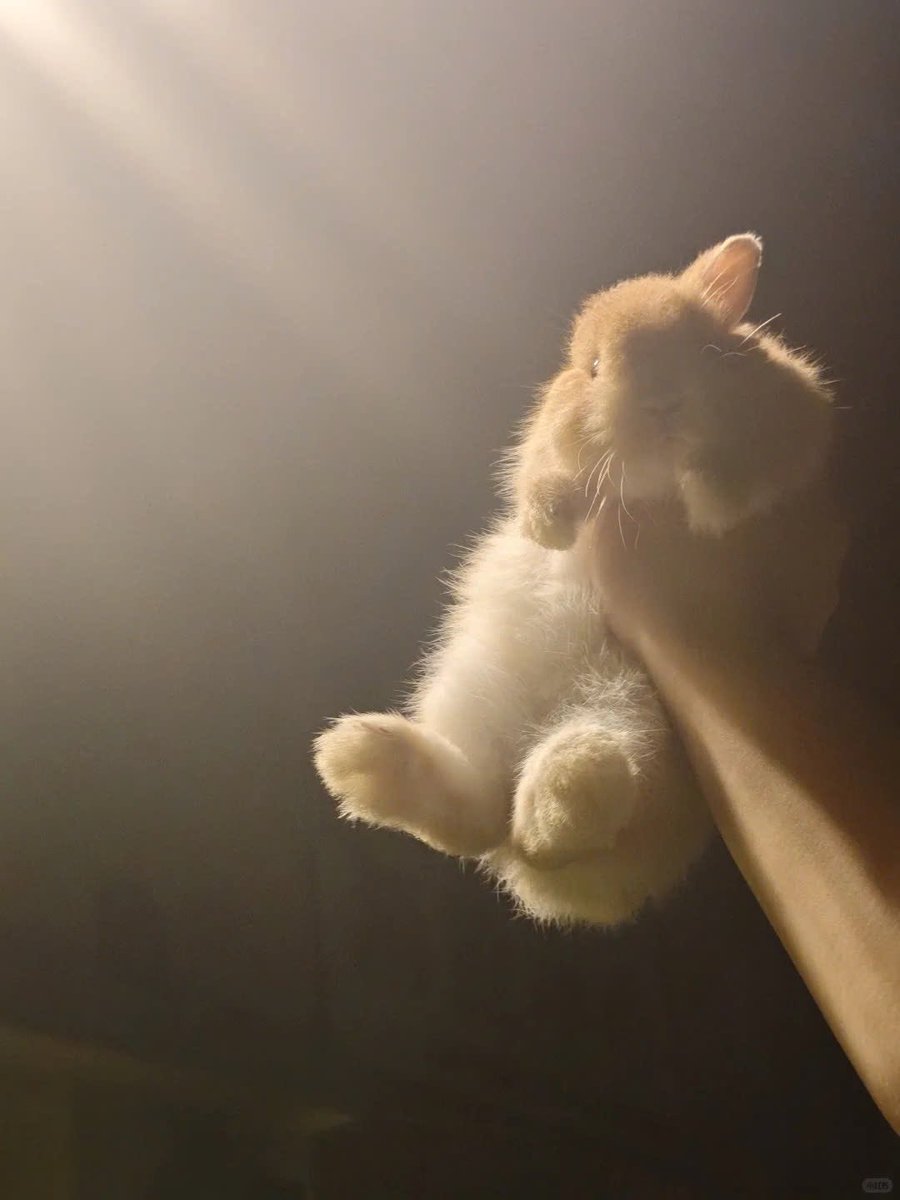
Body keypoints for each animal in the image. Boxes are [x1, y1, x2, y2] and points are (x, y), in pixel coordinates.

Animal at [313, 234, 836, 926]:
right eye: (592, 368)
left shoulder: (794, 427)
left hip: (646, 734)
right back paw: (358, 758)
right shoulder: (545, 445)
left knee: (545, 801)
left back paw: (547, 808)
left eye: (704, 348)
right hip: (473, 695)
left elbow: (744, 468)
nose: (663, 406)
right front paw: (550, 527)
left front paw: (708, 492)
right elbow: (543, 471)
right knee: (476, 815)